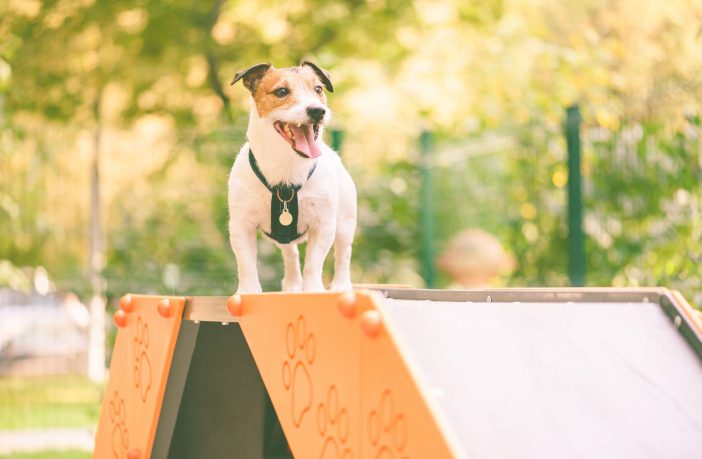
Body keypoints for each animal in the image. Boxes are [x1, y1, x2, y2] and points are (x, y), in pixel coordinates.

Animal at [228, 61, 358, 292]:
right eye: (281, 91)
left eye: (318, 89)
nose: (317, 111)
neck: (287, 170)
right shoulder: (241, 225)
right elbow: (246, 264)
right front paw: (248, 291)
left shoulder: (323, 225)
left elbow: (314, 263)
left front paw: (313, 290)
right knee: (290, 254)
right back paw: (292, 284)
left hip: (345, 222)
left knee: (343, 253)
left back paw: (341, 285)